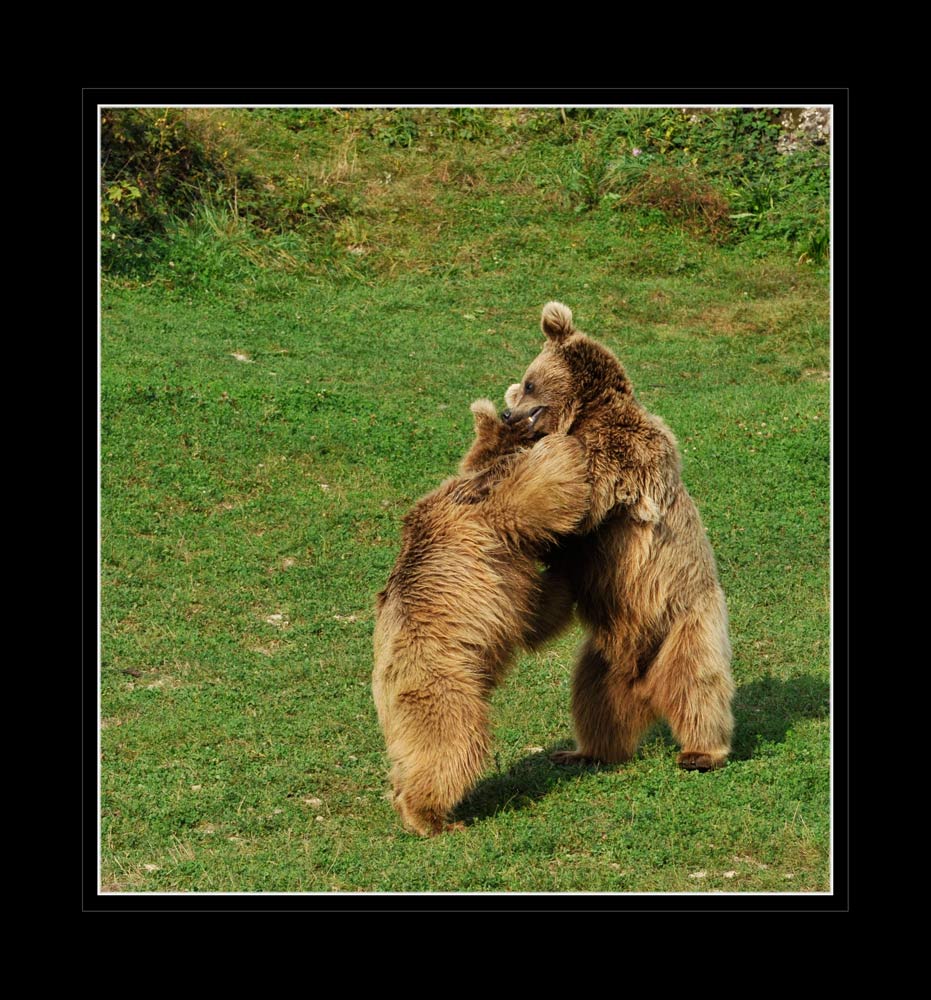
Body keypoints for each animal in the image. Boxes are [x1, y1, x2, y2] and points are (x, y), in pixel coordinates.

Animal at [373, 399, 591, 836]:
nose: (515, 412)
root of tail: (380, 689)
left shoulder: (509, 579)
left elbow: (535, 616)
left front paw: (566, 567)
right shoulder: (487, 519)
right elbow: (533, 494)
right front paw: (566, 449)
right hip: (445, 687)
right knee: (452, 745)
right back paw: (432, 819)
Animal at [502, 302, 735, 772]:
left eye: (531, 382)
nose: (507, 414)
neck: (584, 414)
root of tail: (647, 686)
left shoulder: (619, 451)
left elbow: (585, 496)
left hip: (687, 619)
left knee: (699, 684)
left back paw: (701, 753)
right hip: (603, 652)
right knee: (593, 699)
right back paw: (583, 751)